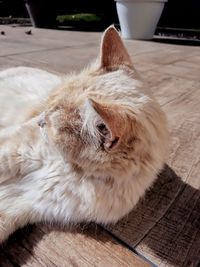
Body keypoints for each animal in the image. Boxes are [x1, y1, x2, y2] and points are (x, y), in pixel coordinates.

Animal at [0, 26, 169, 243]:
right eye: (48, 104)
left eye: (52, 124)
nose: (39, 121)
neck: (74, 172)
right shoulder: (12, 148)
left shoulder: (22, 202)